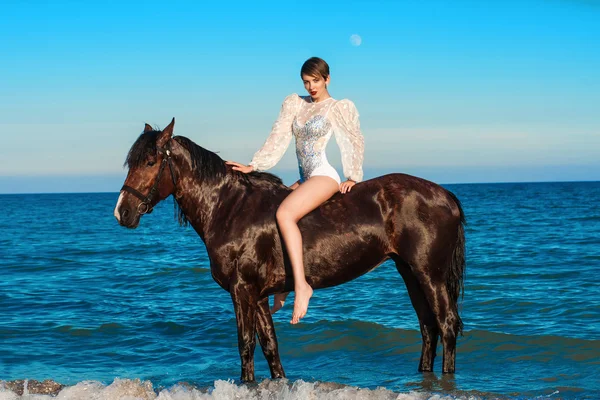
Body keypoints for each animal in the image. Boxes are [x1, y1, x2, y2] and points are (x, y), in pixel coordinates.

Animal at [113, 119, 468, 382]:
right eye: (130, 162)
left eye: (150, 162)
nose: (122, 213)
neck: (230, 208)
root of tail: (445, 194)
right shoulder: (257, 296)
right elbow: (270, 346)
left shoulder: (242, 291)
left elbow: (246, 346)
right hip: (409, 272)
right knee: (428, 327)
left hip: (430, 275)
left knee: (447, 324)